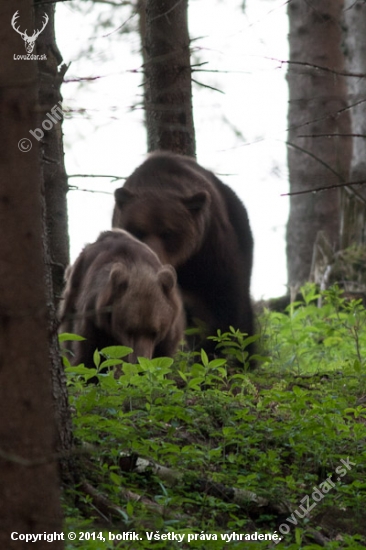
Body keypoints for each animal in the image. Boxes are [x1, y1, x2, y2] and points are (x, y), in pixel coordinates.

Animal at [60, 231, 186, 368]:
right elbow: (88, 356)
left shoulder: (168, 332)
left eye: (154, 332)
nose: (139, 364)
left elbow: (164, 358)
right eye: (130, 331)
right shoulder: (93, 320)